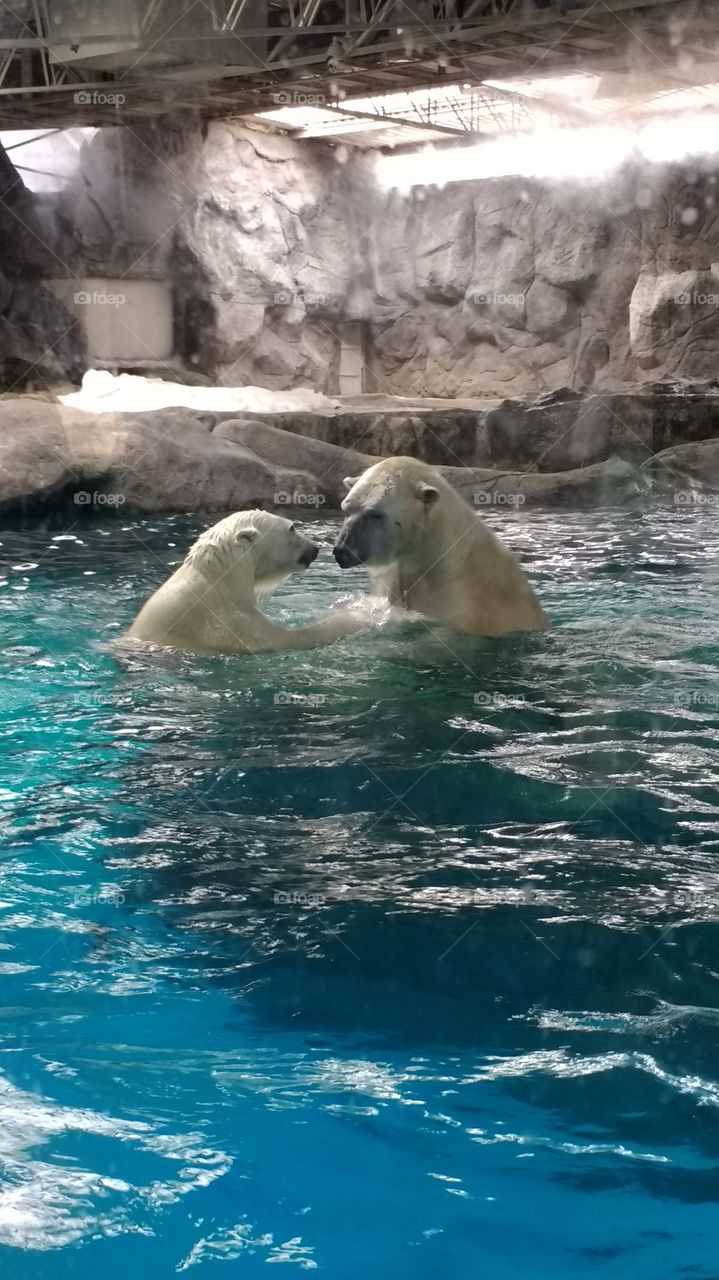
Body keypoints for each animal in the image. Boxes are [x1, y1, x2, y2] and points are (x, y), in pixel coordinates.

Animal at [123, 509, 375, 654]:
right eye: (292, 527)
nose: (314, 548)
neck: (220, 580)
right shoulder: (228, 623)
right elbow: (289, 638)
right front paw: (358, 614)